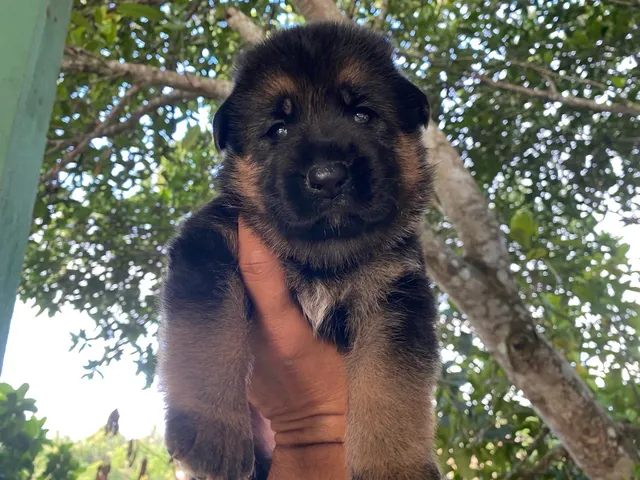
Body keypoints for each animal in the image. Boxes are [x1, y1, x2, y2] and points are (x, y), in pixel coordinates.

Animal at [158, 20, 442, 478]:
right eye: (278, 129)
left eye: (363, 114)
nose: (328, 178)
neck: (320, 258)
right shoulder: (209, 245)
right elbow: (206, 338)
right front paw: (213, 430)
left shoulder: (394, 294)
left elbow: (389, 383)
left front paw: (392, 465)